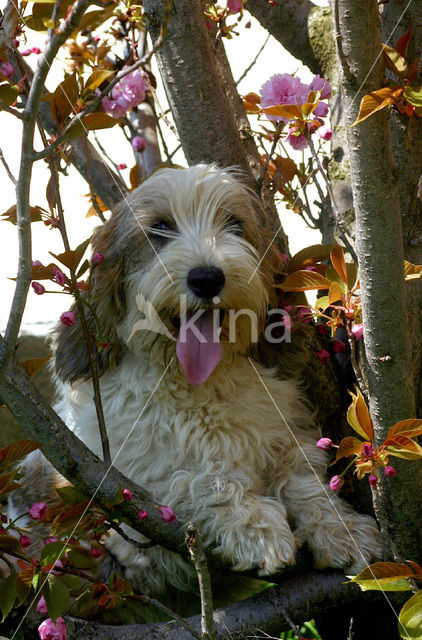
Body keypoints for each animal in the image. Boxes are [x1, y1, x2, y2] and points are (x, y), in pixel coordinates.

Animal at [48, 164, 380, 600]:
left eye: (234, 224)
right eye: (160, 227)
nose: (206, 278)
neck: (200, 384)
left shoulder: (285, 435)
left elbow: (303, 481)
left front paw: (343, 529)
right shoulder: (129, 479)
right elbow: (201, 477)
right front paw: (256, 529)